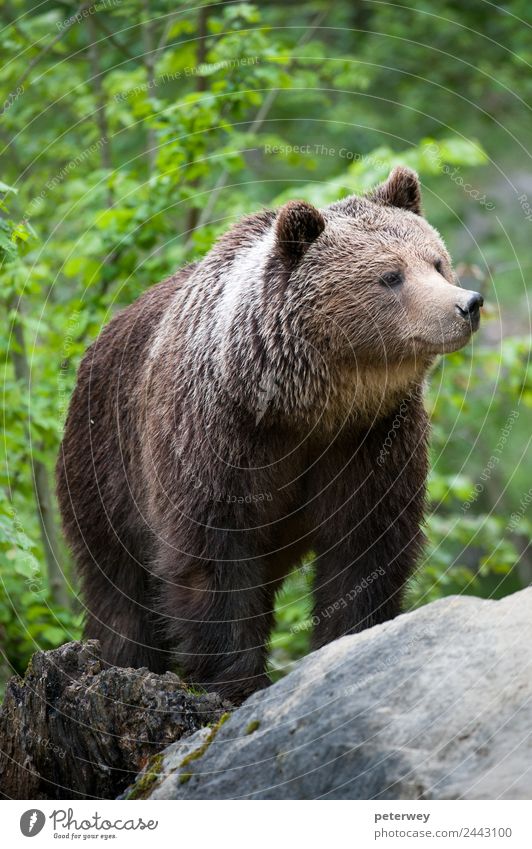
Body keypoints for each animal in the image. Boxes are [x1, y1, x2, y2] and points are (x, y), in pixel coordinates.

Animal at [57, 167, 482, 704]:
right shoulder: (217, 435)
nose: (467, 304)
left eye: (436, 261)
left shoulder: (373, 437)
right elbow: (213, 556)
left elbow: (366, 547)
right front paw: (236, 682)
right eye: (391, 275)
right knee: (118, 588)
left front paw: (348, 643)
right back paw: (124, 659)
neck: (305, 407)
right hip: (103, 469)